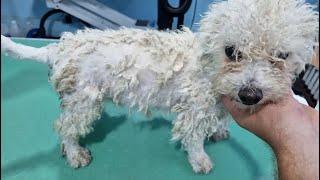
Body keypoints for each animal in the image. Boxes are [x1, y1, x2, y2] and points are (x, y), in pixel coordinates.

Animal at [1, 0, 318, 174]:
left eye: (281, 56)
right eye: (231, 51)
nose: (249, 95)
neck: (208, 66)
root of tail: (58, 48)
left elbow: (218, 121)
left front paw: (218, 131)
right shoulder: (193, 112)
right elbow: (193, 140)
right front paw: (200, 160)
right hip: (84, 101)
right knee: (66, 129)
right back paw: (75, 152)